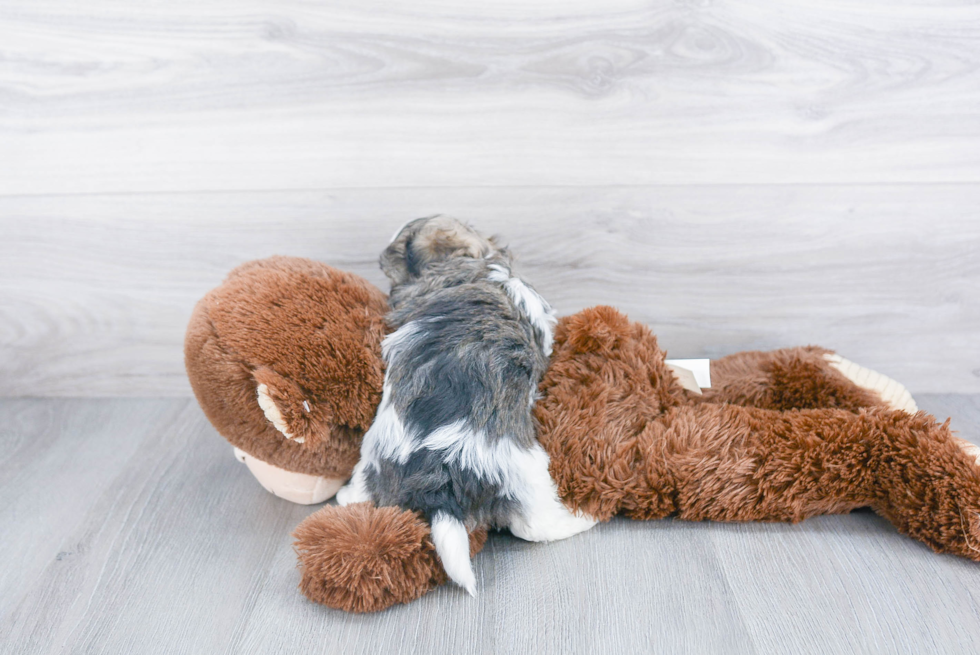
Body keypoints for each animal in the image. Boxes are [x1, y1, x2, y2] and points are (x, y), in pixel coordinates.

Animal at [336, 215, 596, 596]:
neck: (483, 266)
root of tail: (441, 479)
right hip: (527, 475)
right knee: (534, 527)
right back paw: (583, 519)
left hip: (372, 457)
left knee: (362, 488)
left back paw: (346, 497)